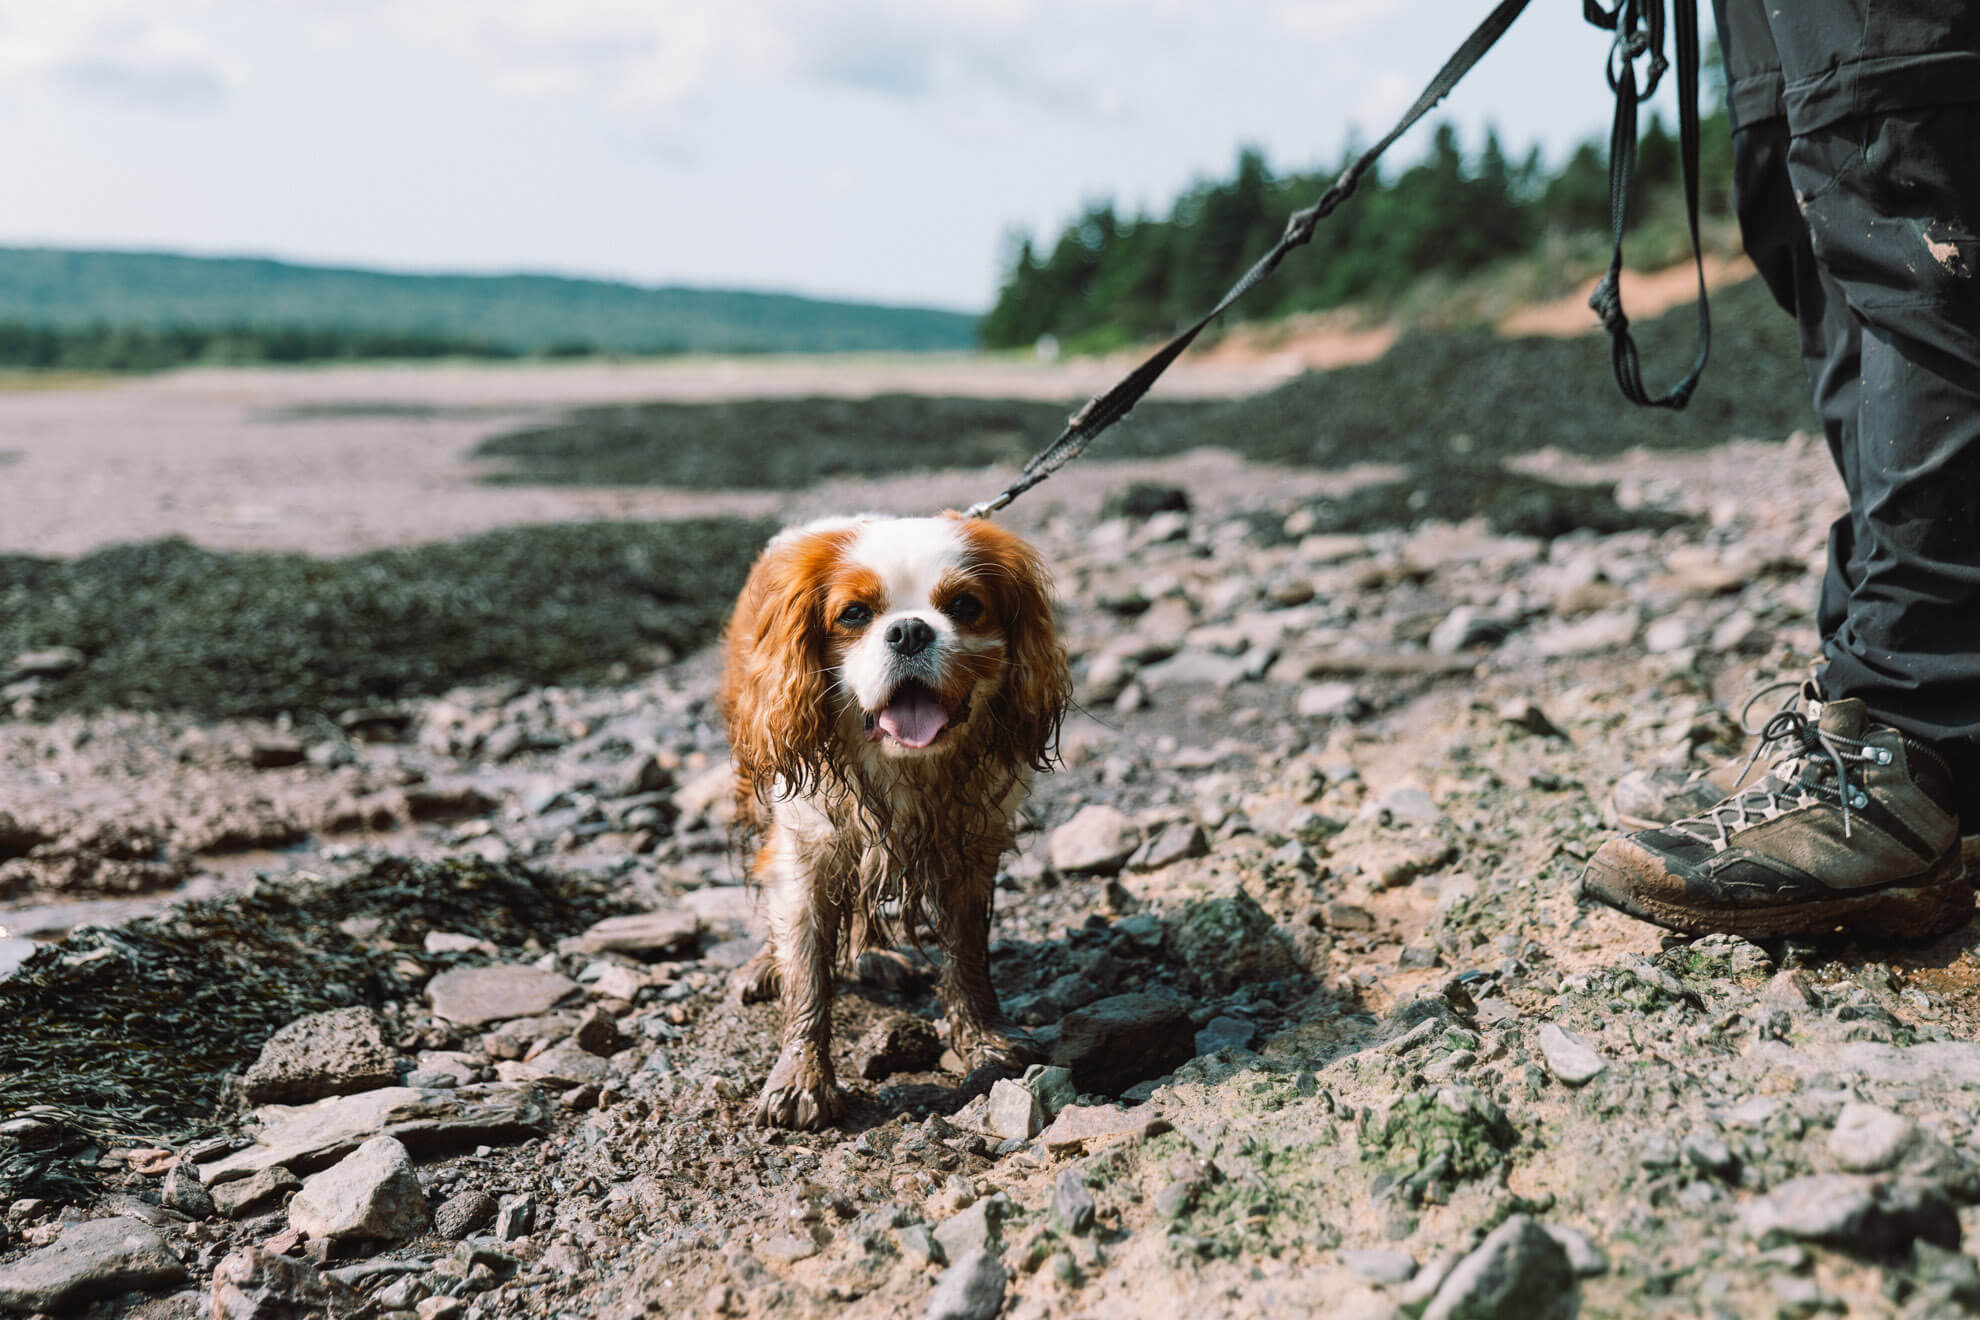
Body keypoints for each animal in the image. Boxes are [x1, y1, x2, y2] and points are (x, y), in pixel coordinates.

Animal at [720, 510, 1077, 1131]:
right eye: (853, 614)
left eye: (964, 605)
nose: (910, 630)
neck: (903, 765)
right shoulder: (807, 847)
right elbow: (806, 966)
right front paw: (801, 1078)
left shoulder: (973, 850)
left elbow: (967, 951)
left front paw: (983, 1038)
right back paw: (768, 964)